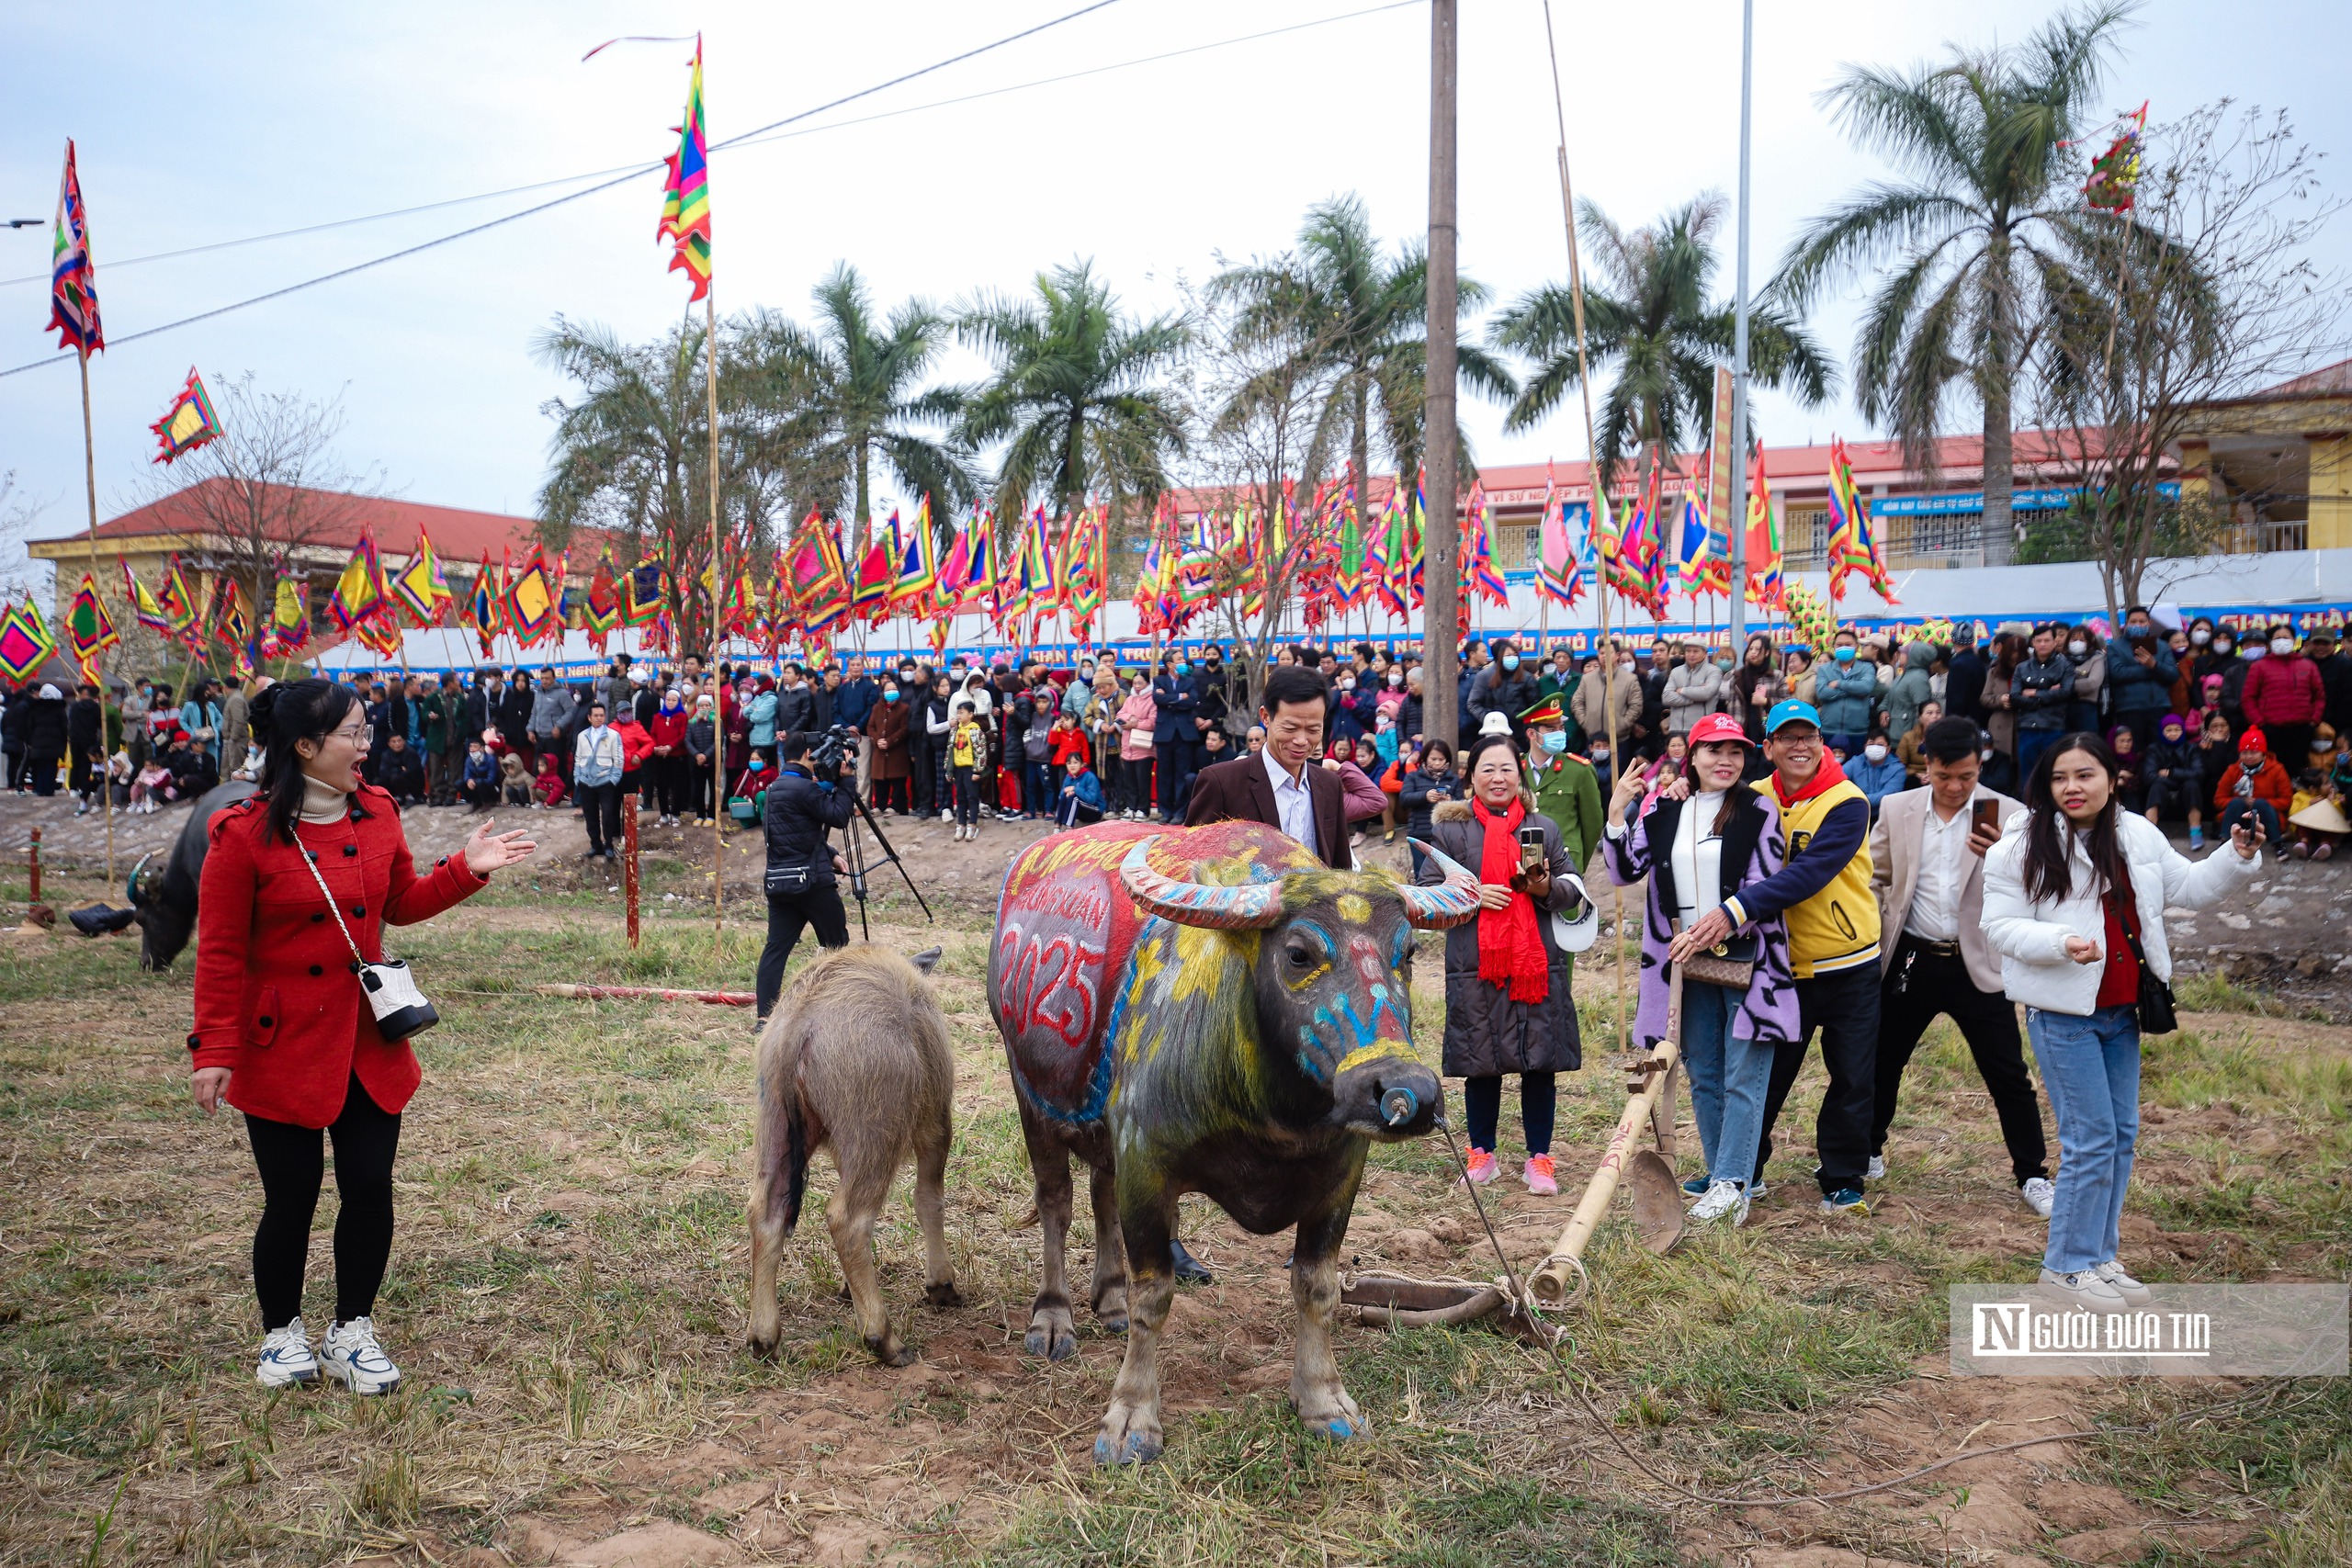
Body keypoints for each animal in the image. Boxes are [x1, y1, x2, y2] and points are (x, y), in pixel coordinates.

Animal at [988, 818, 1467, 1466]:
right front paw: (1131, 1418)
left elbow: (1318, 1288)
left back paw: (1107, 1300)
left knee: (1100, 1194)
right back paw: (1054, 1318)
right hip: (1031, 1098)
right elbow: (1153, 1296)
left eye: (1408, 953)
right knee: (1056, 1204)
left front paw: (1324, 1401)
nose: (1406, 1093)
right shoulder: (1148, 1164)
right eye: (1298, 953)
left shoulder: (1339, 1178)